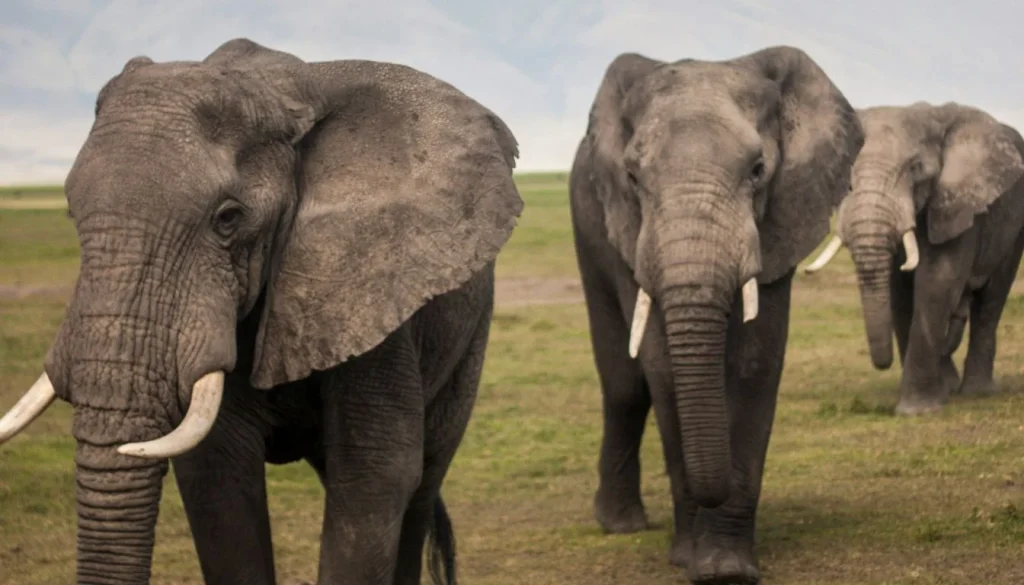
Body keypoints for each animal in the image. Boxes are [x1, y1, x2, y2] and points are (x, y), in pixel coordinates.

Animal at [0, 38, 523, 585]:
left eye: (228, 218)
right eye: (70, 212)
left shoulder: (372, 288)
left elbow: (375, 474)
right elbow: (218, 477)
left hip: (471, 335)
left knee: (423, 483)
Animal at [569, 46, 863, 584]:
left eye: (758, 169)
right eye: (633, 178)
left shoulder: (780, 218)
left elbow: (754, 364)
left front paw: (727, 568)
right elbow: (662, 368)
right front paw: (691, 559)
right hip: (587, 223)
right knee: (624, 385)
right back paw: (620, 525)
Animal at [804, 102, 1024, 415]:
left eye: (916, 169)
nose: (883, 363)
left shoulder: (956, 203)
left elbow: (937, 280)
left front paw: (917, 411)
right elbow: (900, 291)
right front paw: (936, 396)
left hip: (1014, 227)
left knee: (992, 298)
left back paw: (977, 391)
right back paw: (951, 386)